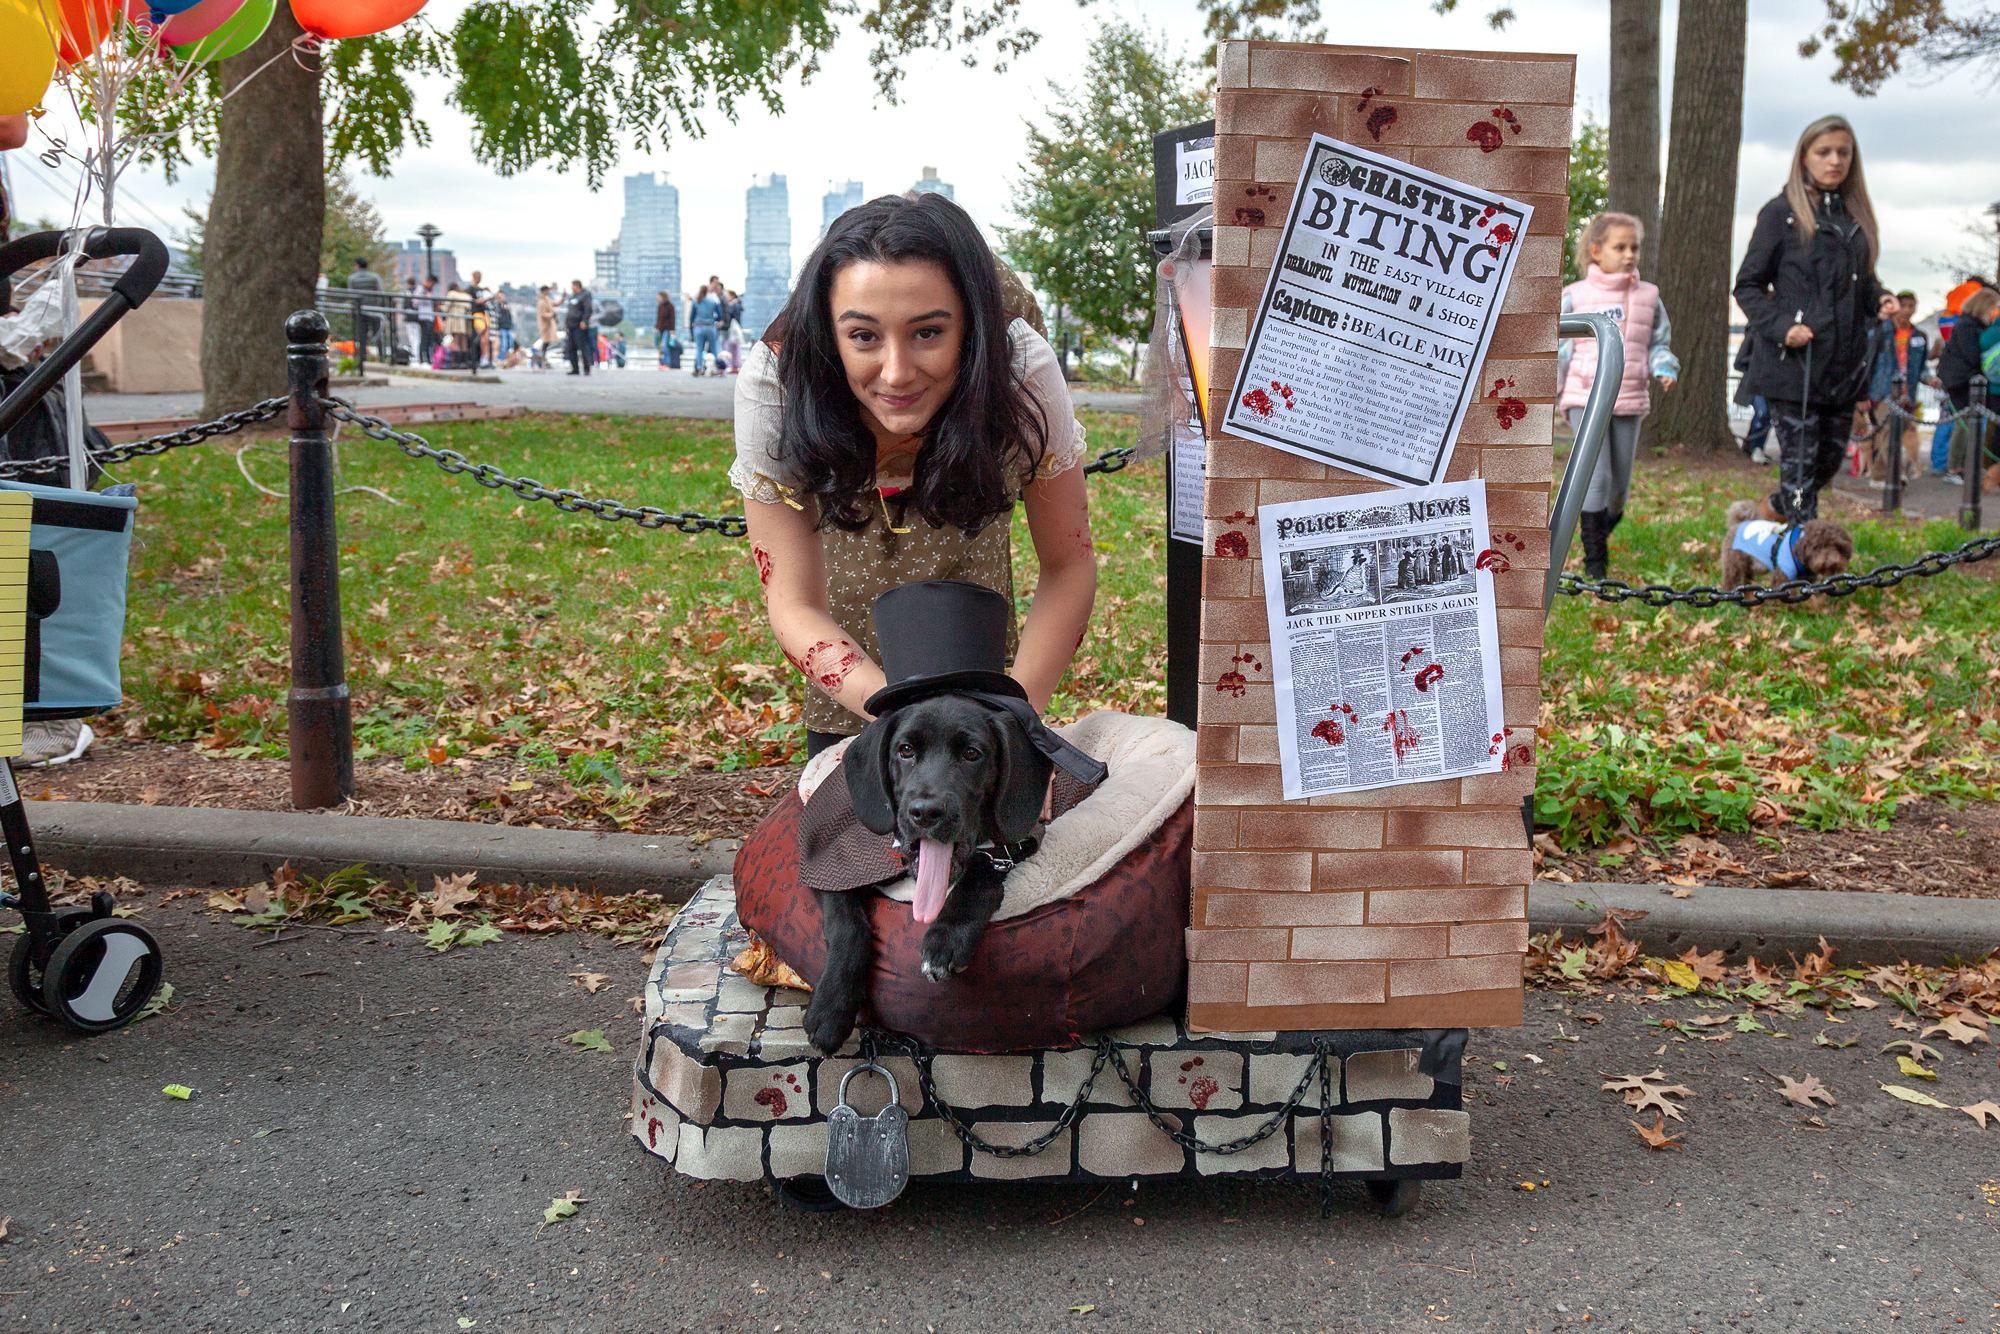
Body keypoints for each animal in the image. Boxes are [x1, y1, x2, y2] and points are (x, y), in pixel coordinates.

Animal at [800, 696, 1056, 1056]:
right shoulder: (829, 868)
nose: (925, 813)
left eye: (972, 753)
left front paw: (946, 937)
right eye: (905, 750)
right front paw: (829, 1011)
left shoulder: (1012, 846)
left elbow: (980, 876)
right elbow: (847, 926)